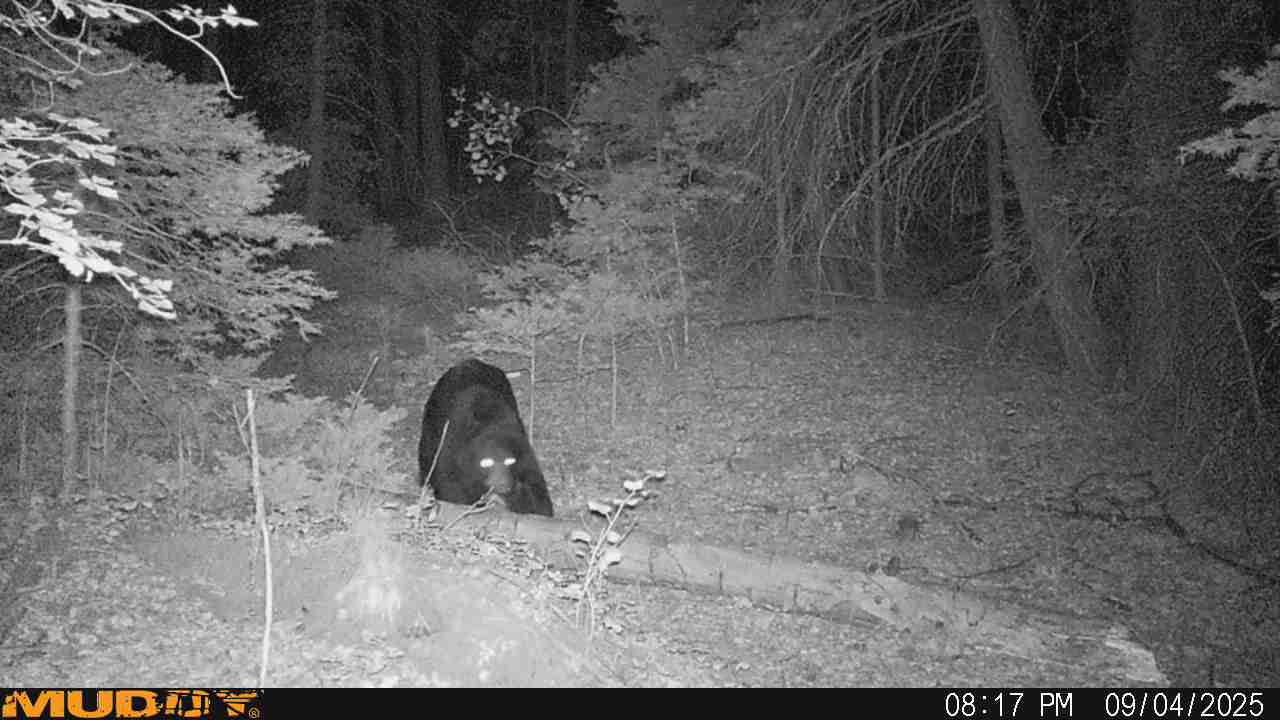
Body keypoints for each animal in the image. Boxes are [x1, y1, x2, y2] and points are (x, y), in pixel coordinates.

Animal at [417, 358, 554, 516]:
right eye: (486, 463)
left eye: (510, 461)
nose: (503, 484)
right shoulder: (450, 453)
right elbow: (452, 490)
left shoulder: (523, 452)